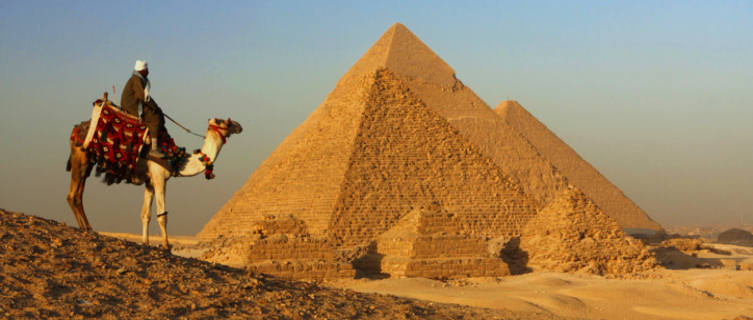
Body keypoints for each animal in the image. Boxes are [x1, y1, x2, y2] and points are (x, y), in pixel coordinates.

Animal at [67, 115, 242, 250]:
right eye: (224, 122)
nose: (239, 126)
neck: (177, 160)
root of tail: (76, 128)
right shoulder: (159, 179)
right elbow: (161, 215)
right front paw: (166, 245)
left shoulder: (149, 182)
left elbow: (145, 214)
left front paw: (145, 242)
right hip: (81, 157)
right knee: (72, 195)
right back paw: (85, 228)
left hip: (87, 161)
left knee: (78, 194)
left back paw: (88, 228)